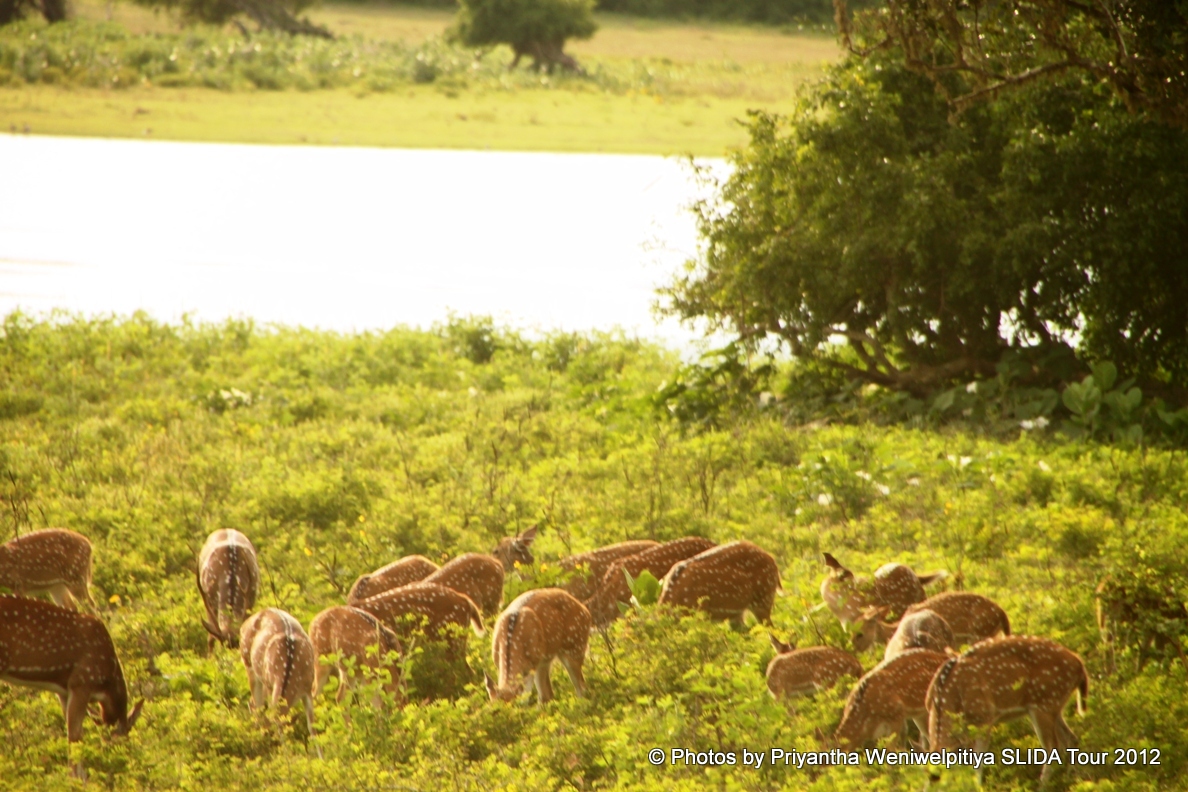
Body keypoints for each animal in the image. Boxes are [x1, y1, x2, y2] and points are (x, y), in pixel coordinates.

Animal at [0, 595, 144, 778]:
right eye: (123, 742)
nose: (117, 768)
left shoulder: (64, 691)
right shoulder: (82, 681)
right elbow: (74, 736)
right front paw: (77, 779)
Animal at [239, 608, 318, 754]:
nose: (269, 748)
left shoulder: (308, 687)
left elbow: (312, 727)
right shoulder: (272, 685)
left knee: (255, 705)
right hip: (248, 664)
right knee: (256, 706)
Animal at [927, 636, 1089, 784]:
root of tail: (1080, 665)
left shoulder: (984, 716)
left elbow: (977, 763)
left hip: (1045, 703)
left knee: (1053, 748)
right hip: (1054, 705)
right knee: (1070, 739)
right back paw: (1073, 779)